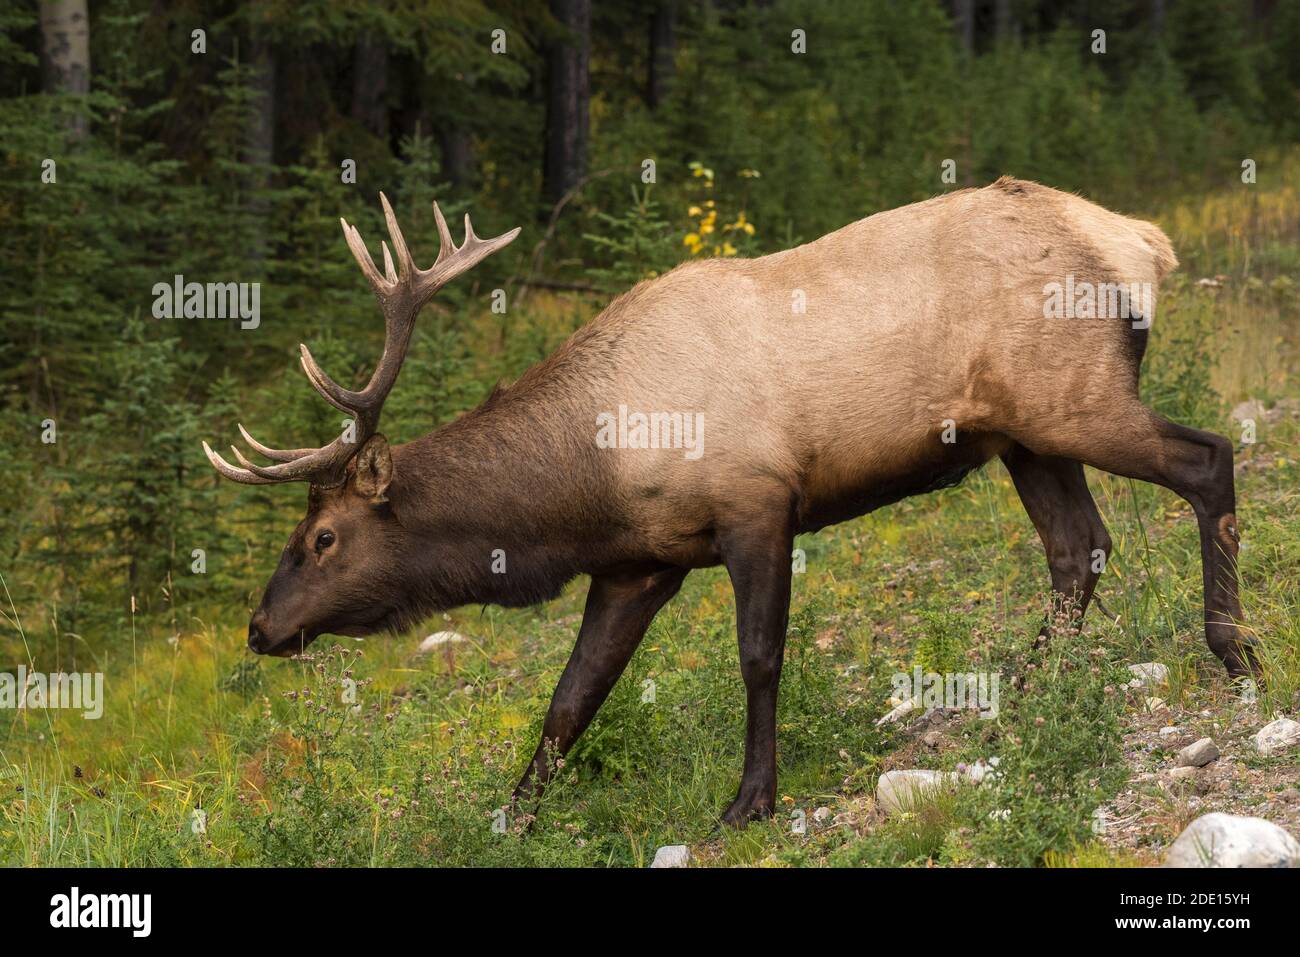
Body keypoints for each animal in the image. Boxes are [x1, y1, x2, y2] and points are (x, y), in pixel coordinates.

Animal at [205, 183, 1258, 826]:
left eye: (323, 535)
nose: (260, 627)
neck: (590, 478)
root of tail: (1142, 241)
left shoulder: (756, 504)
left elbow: (758, 657)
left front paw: (751, 797)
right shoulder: (637, 563)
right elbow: (569, 699)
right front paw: (514, 813)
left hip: (1077, 399)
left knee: (1209, 459)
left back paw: (1233, 648)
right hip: (1025, 434)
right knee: (1079, 548)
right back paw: (1017, 698)